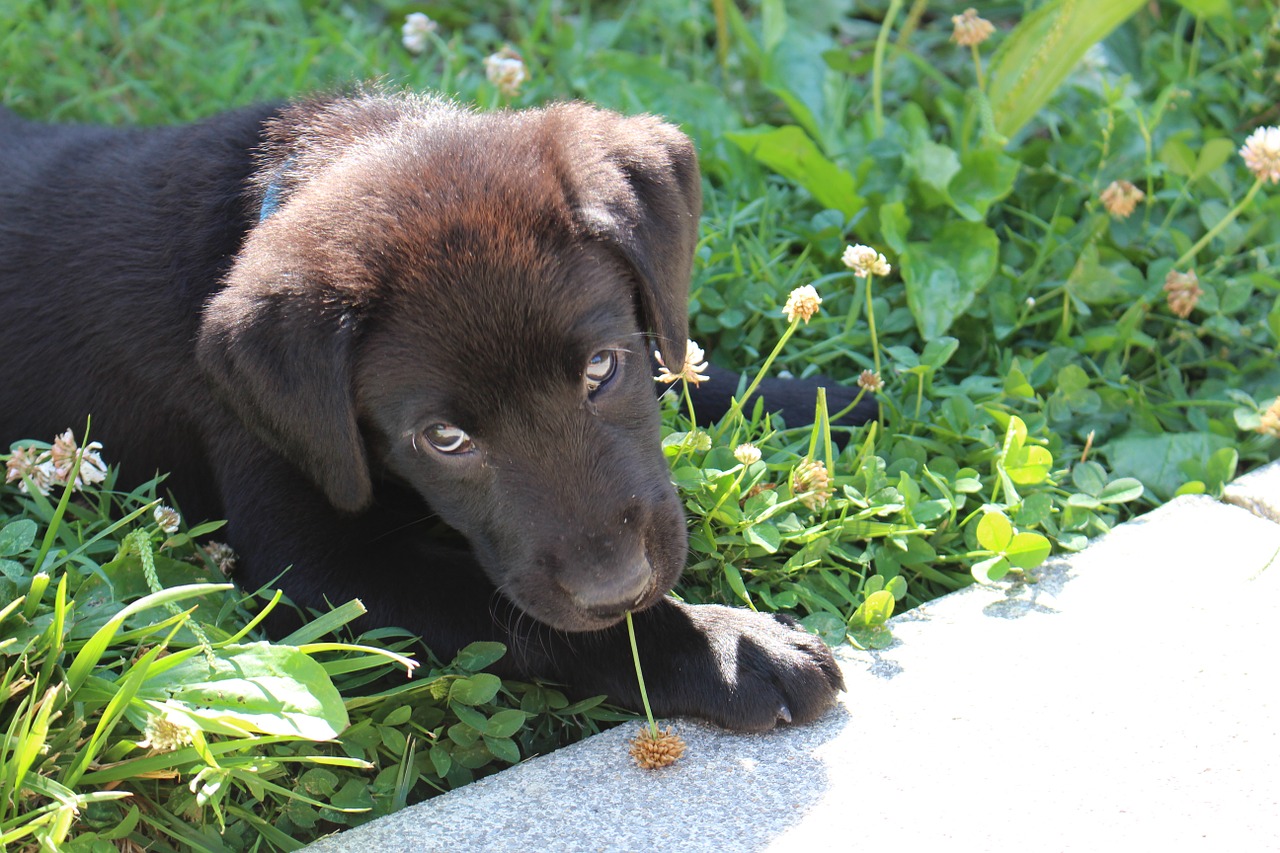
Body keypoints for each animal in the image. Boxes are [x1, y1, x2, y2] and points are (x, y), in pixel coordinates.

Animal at [0, 92, 865, 732]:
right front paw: (729, 646)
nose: (616, 589)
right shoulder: (314, 565)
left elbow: (687, 369)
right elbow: (513, 612)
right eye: (444, 439)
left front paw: (837, 400)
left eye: (599, 368)